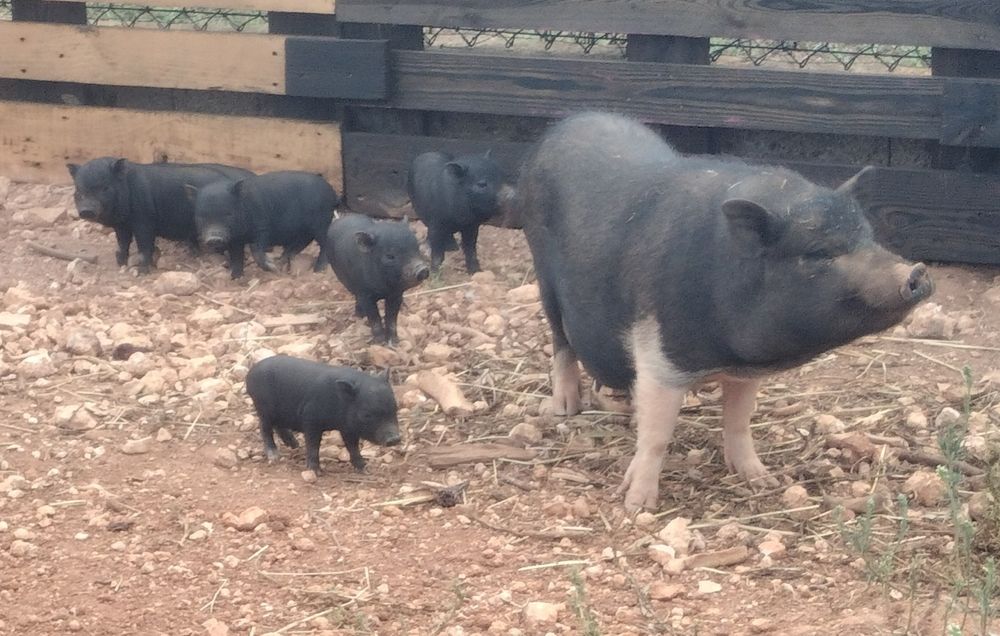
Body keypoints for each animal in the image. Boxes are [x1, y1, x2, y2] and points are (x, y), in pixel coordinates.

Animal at [66, 158, 253, 273]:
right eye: (79, 190)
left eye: (104, 187)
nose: (86, 210)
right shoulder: (122, 225)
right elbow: (123, 243)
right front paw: (120, 263)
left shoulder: (144, 221)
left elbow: (144, 246)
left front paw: (141, 271)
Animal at [190, 171, 338, 278]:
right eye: (201, 216)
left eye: (228, 214)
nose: (214, 238)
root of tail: (333, 193)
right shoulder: (235, 240)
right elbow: (236, 257)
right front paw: (235, 278)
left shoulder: (262, 228)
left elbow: (256, 249)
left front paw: (272, 268)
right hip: (304, 229)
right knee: (302, 241)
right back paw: (282, 260)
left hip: (321, 222)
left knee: (323, 243)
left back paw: (318, 270)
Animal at [245, 354, 401, 474]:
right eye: (367, 414)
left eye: (395, 408)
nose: (394, 439)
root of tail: (250, 373)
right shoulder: (310, 419)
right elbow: (313, 445)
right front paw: (315, 471)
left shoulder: (348, 428)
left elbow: (353, 447)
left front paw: (365, 469)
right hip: (263, 407)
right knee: (264, 428)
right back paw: (274, 456)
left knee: (278, 426)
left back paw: (295, 445)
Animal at [325, 213, 430, 345]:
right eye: (390, 256)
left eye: (417, 248)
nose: (422, 269)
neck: (384, 288)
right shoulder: (365, 294)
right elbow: (374, 318)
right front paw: (380, 342)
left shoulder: (396, 294)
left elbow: (391, 318)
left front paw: (394, 342)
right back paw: (359, 315)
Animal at [517, 112, 933, 511]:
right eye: (817, 253)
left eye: (868, 237)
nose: (915, 271)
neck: (722, 354)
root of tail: (562, 126)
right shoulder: (660, 357)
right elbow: (655, 436)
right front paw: (636, 506)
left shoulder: (743, 372)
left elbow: (738, 421)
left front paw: (761, 481)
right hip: (544, 275)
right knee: (561, 341)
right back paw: (566, 408)